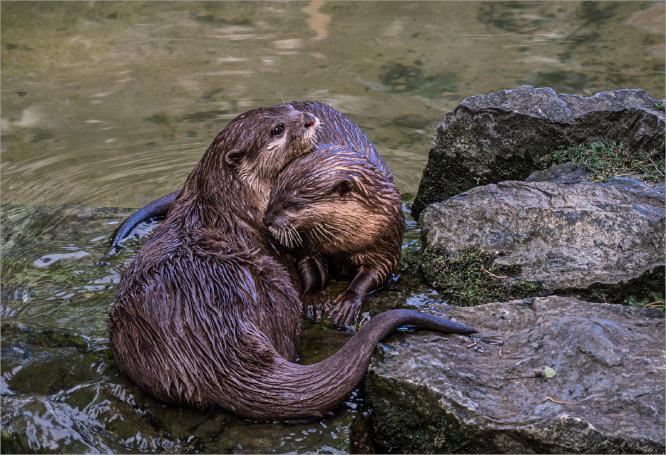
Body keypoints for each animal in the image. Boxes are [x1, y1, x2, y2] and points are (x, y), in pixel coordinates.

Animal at [263, 144, 404, 327]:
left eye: (293, 204)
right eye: (272, 194)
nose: (267, 220)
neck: (342, 244)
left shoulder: (387, 240)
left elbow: (376, 271)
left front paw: (347, 303)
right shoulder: (307, 246)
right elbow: (308, 265)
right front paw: (314, 301)